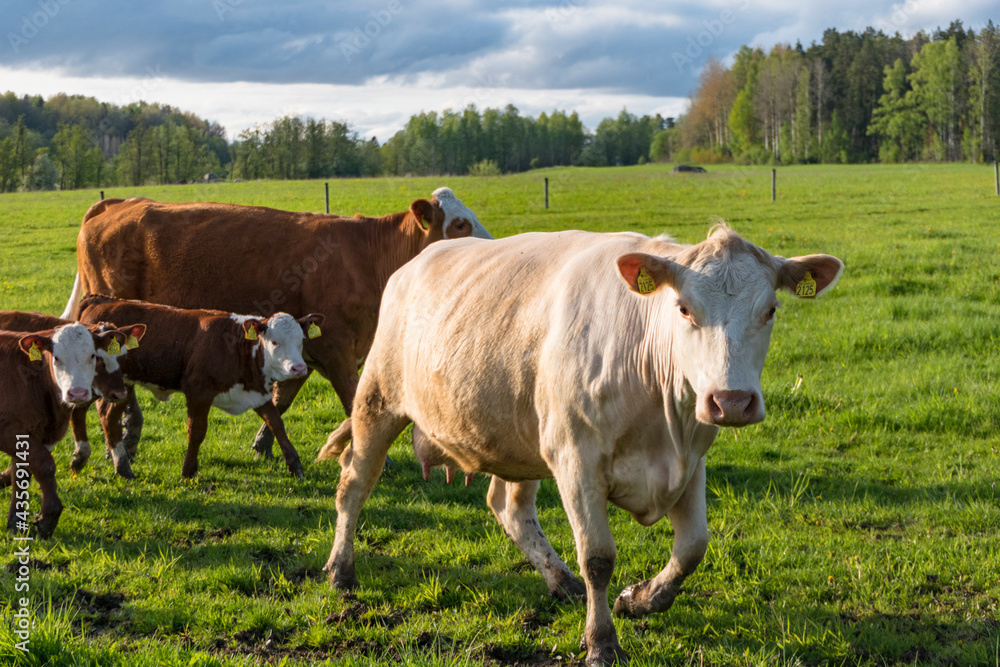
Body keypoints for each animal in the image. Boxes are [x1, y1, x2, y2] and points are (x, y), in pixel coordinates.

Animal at [0, 324, 132, 536]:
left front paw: (16, 523)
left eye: (93, 355)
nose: (77, 393)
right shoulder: (9, 430)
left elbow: (22, 473)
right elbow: (44, 464)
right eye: (56, 357)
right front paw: (48, 518)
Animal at [81, 294, 328, 478]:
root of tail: (101, 300)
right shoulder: (198, 392)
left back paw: (122, 467)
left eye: (301, 341)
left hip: (121, 385)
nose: (298, 368)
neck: (239, 348)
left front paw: (295, 466)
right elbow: (197, 431)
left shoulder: (257, 392)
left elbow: (277, 424)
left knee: (109, 417)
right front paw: (188, 471)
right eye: (275, 342)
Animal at [320, 226, 844, 667]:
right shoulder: (576, 459)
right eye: (684, 309)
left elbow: (693, 546)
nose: (731, 401)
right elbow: (598, 557)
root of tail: (416, 262)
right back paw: (341, 571)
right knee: (354, 484)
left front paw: (642, 599)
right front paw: (601, 642)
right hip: (377, 400)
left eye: (770, 310)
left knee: (510, 507)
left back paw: (560, 582)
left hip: (521, 437)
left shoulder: (690, 460)